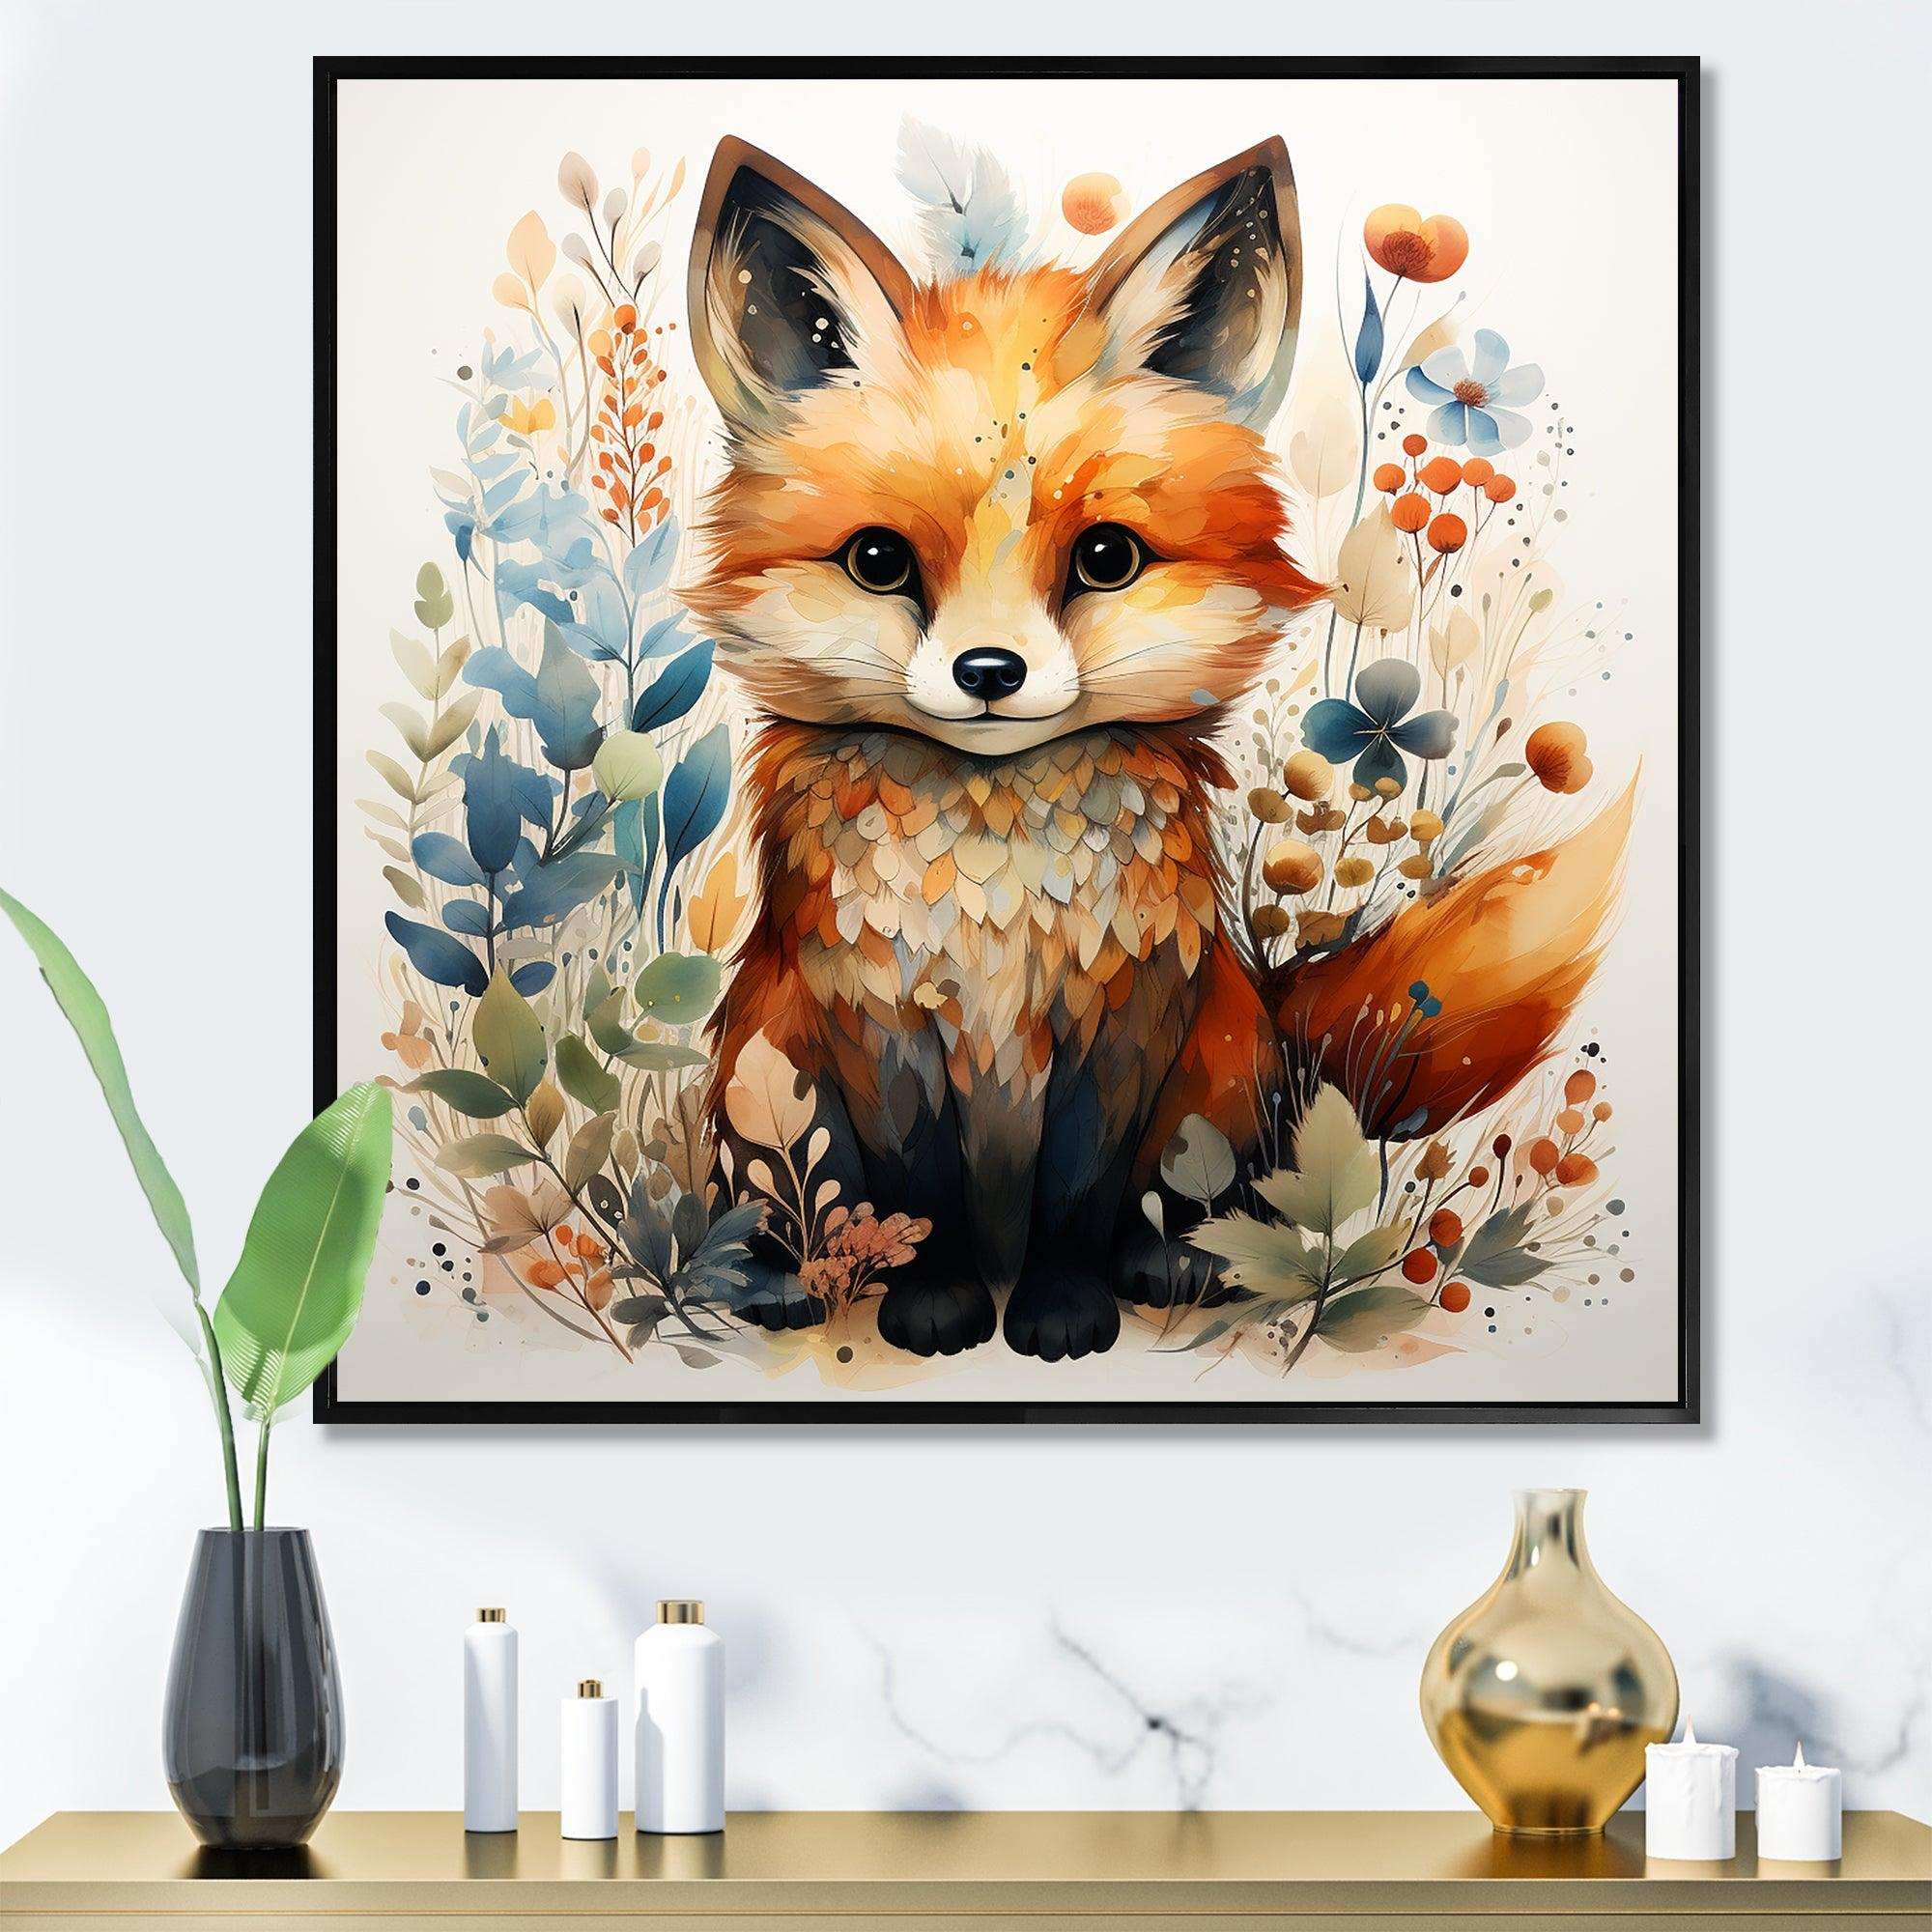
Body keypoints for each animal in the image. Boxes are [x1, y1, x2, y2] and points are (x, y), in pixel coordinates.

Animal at [681, 135, 1626, 1362]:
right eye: (879, 560)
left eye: (1106, 557)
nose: (989, 673)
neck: (998, 885)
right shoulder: (875, 1018)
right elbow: (919, 1188)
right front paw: (936, 1298)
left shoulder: (1123, 1016)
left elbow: (1079, 1193)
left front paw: (1059, 1305)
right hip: (763, 1058)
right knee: (790, 1197)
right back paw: (779, 1272)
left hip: (1215, 1067)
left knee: (1194, 1200)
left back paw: (1178, 1262)